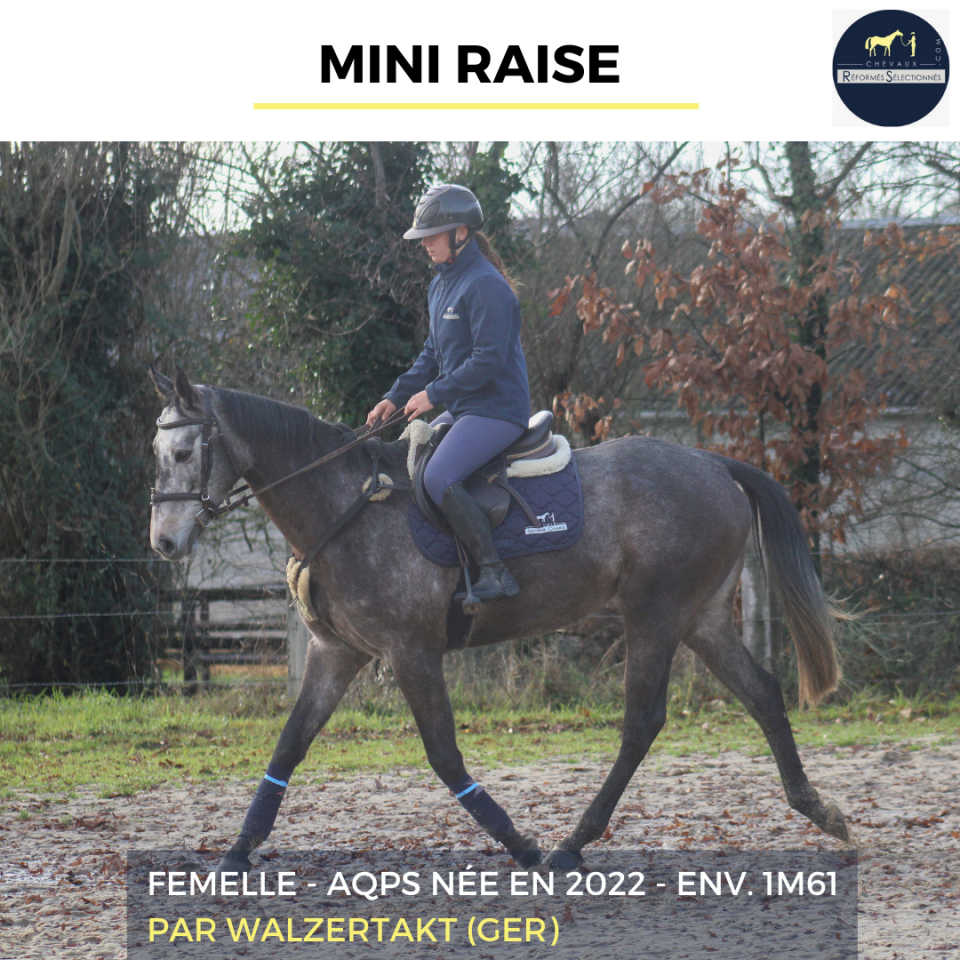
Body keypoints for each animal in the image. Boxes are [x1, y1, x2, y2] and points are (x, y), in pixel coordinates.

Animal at [148, 367, 849, 874]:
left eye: (182, 451)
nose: (164, 543)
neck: (344, 507)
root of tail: (713, 462)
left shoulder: (411, 653)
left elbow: (444, 755)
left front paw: (521, 844)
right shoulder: (335, 653)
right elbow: (290, 745)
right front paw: (238, 851)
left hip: (656, 613)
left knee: (642, 722)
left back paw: (571, 843)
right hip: (700, 617)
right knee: (762, 693)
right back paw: (817, 808)